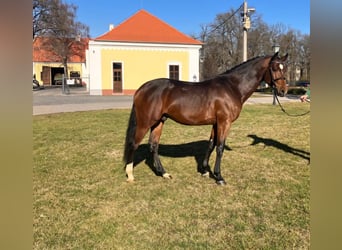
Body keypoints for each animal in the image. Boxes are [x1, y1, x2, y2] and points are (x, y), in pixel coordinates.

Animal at [124, 52, 288, 186]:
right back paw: (130, 175)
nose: (283, 91)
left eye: (284, 68)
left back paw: (164, 173)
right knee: (134, 144)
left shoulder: (216, 123)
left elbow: (211, 144)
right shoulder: (224, 122)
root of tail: (141, 89)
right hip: (145, 123)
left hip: (159, 122)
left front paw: (204, 171)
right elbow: (220, 147)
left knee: (153, 145)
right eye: (274, 68)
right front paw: (219, 177)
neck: (232, 87)